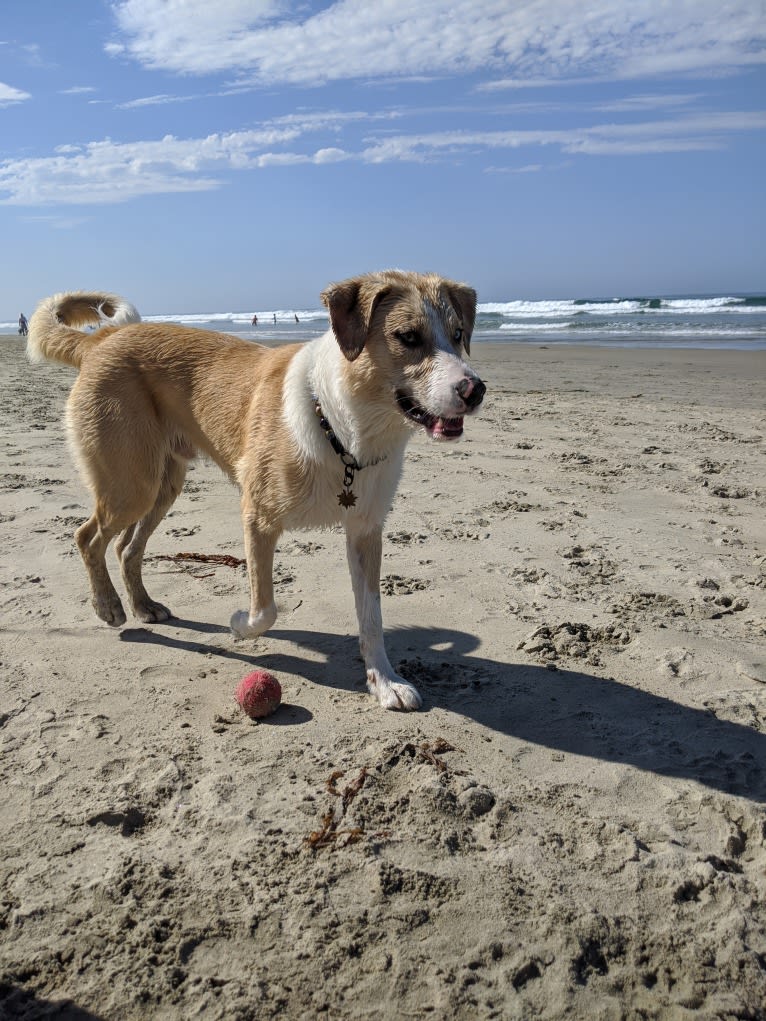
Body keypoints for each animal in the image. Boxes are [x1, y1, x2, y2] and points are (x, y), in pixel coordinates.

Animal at [30, 271, 488, 710]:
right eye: (408, 337)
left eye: (458, 333)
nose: (475, 389)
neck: (344, 429)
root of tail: (102, 339)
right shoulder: (258, 517)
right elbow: (265, 609)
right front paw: (238, 626)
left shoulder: (365, 531)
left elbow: (371, 617)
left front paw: (385, 682)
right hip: (131, 484)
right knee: (87, 536)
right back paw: (108, 606)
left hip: (163, 486)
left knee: (126, 547)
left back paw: (143, 606)